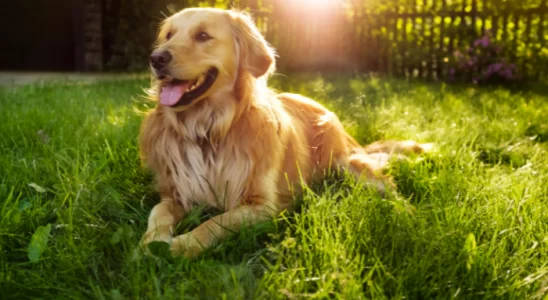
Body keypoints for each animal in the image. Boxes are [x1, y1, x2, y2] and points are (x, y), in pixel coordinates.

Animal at [139, 8, 430, 258]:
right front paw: (152, 242)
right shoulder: (176, 193)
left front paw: (182, 245)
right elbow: (158, 211)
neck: (208, 130)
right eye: (168, 35)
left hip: (347, 164)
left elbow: (215, 222)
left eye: (202, 36)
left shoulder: (262, 205)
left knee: (390, 187)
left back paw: (408, 216)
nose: (156, 59)